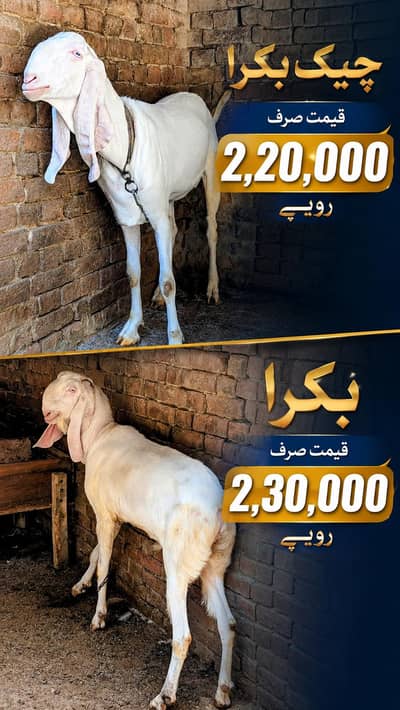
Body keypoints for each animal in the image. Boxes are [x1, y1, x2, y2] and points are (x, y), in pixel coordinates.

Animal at [22, 32, 229, 346]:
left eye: (77, 53)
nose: (29, 79)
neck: (123, 146)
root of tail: (194, 100)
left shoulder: (156, 212)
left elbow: (169, 281)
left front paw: (174, 336)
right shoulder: (127, 217)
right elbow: (132, 273)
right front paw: (132, 328)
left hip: (210, 171)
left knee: (212, 229)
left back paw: (213, 289)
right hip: (167, 197)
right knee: (174, 230)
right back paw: (157, 296)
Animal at [34, 371, 236, 709]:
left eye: (72, 390)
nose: (45, 410)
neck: (99, 434)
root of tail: (218, 512)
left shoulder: (104, 514)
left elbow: (104, 564)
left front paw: (99, 616)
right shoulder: (113, 515)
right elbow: (96, 554)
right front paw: (80, 585)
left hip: (179, 561)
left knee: (183, 636)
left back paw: (165, 695)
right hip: (216, 563)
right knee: (228, 625)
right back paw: (222, 692)